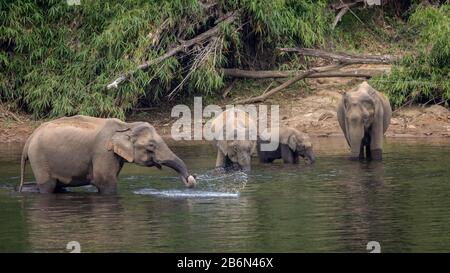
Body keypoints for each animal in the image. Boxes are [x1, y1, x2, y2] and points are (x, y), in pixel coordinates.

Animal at [18, 115, 195, 193]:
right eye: (151, 146)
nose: (190, 179)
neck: (126, 125)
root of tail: (29, 139)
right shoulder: (103, 152)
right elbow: (105, 181)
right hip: (39, 159)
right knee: (48, 187)